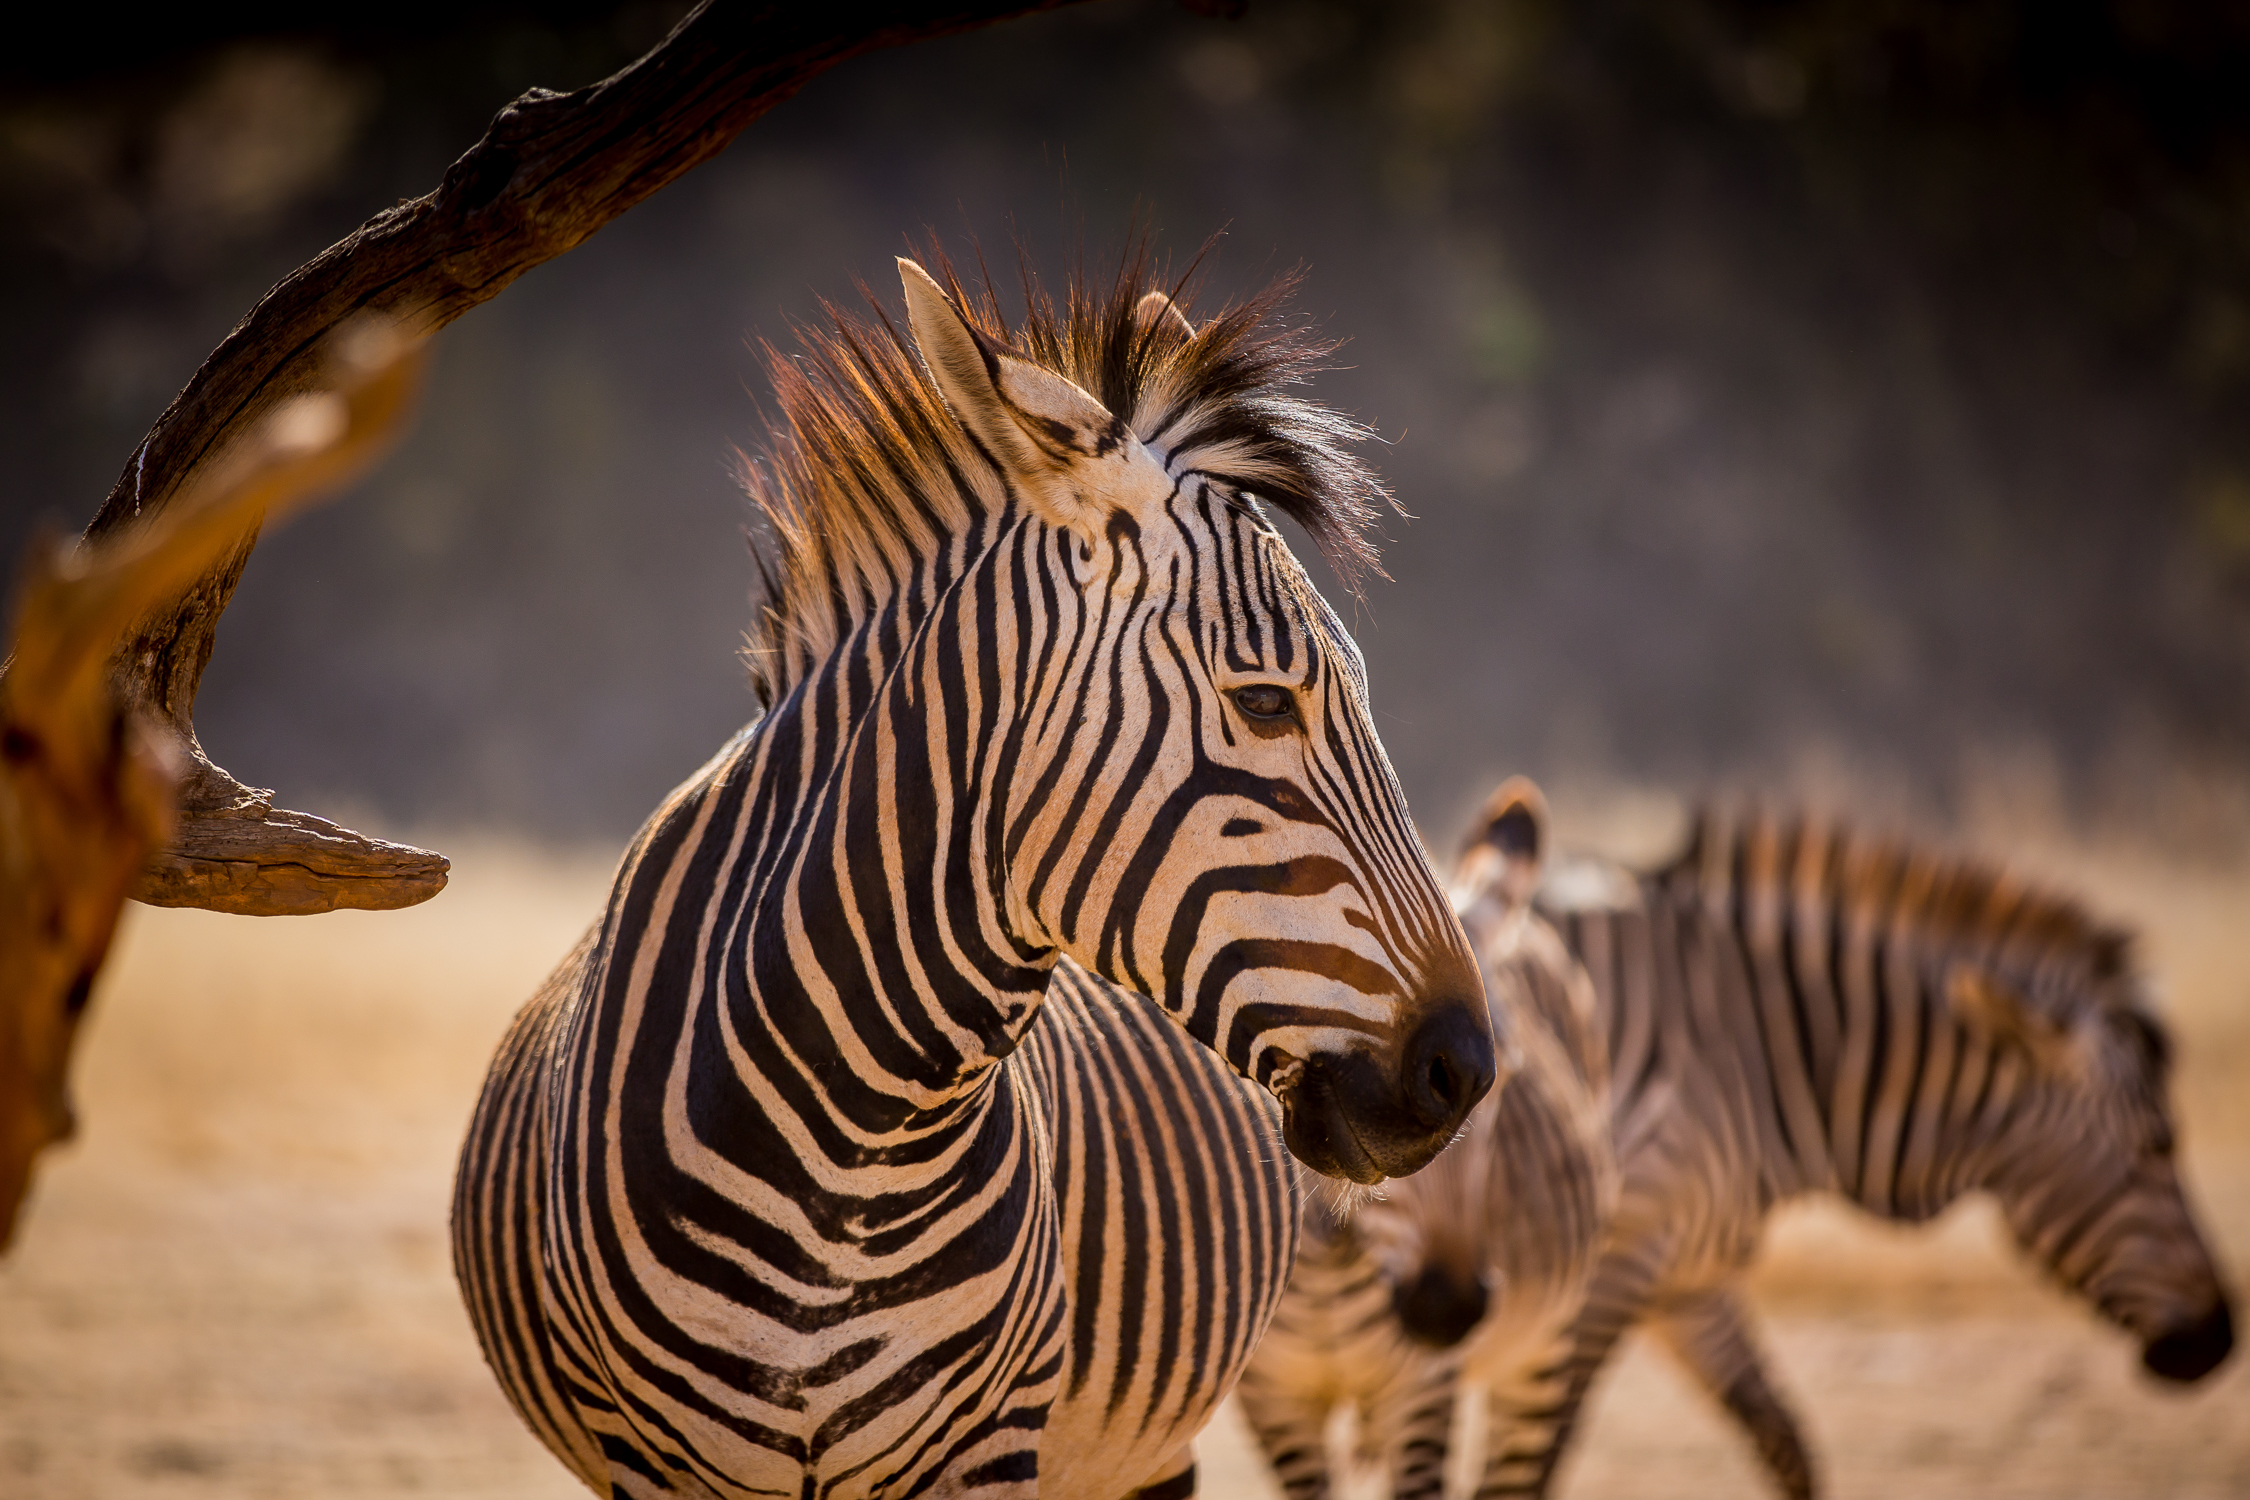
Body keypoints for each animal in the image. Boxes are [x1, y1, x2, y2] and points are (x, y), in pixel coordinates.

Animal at [1233, 782, 1620, 1500]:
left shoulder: (1423, 1393)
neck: (1332, 1267)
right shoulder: (1273, 1404)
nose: (1450, 1309)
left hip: (1542, 1349)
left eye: (1501, 1089)